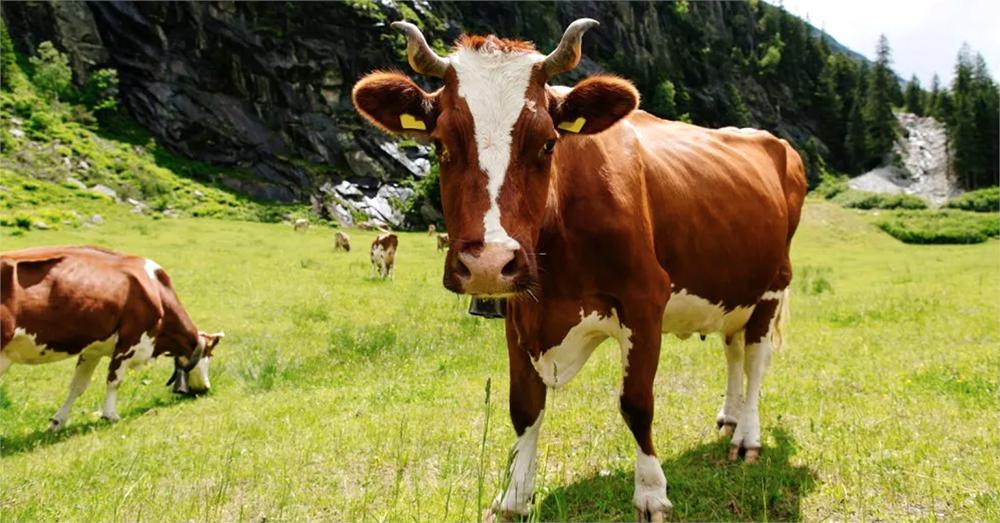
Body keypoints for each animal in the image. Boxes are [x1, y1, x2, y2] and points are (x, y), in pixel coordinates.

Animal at [0, 246, 224, 430]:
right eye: (210, 356)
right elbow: (114, 380)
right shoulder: (130, 341)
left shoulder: (92, 349)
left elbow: (78, 385)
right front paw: (110, 415)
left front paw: (58, 421)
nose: (206, 388)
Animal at [353, 19, 806, 521]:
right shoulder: (518, 311)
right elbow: (523, 406)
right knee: (733, 351)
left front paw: (651, 492)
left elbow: (637, 403)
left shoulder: (645, 300)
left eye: (548, 142)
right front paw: (514, 496)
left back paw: (747, 436)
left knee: (756, 360)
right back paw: (729, 417)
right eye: (440, 144)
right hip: (732, 291)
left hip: (773, 287)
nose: (488, 263)